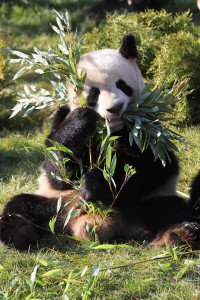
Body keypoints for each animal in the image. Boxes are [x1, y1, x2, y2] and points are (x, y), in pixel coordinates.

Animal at [0, 32, 200, 250]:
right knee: (21, 204)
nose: (115, 108)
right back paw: (15, 228)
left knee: (172, 211)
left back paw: (178, 235)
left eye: (122, 85)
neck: (110, 130)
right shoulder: (61, 117)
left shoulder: (148, 130)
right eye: (94, 93)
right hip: (55, 201)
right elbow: (57, 168)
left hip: (152, 200)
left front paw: (94, 184)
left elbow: (151, 166)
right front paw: (80, 122)